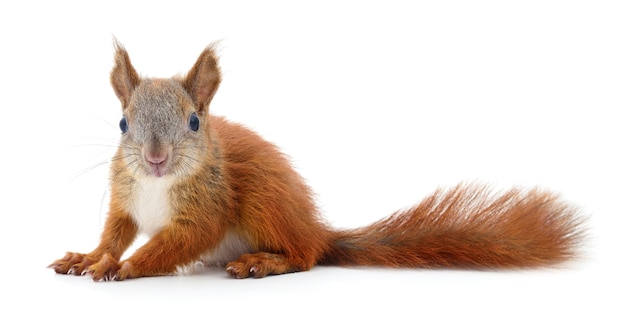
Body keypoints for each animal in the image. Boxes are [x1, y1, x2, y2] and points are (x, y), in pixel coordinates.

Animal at [48, 40, 584, 282]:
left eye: (195, 122)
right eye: (123, 124)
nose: (156, 158)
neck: (159, 184)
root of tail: (316, 229)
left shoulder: (208, 209)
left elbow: (177, 242)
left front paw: (127, 267)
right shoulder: (126, 199)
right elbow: (114, 233)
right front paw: (90, 258)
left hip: (263, 202)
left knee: (305, 256)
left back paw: (264, 262)